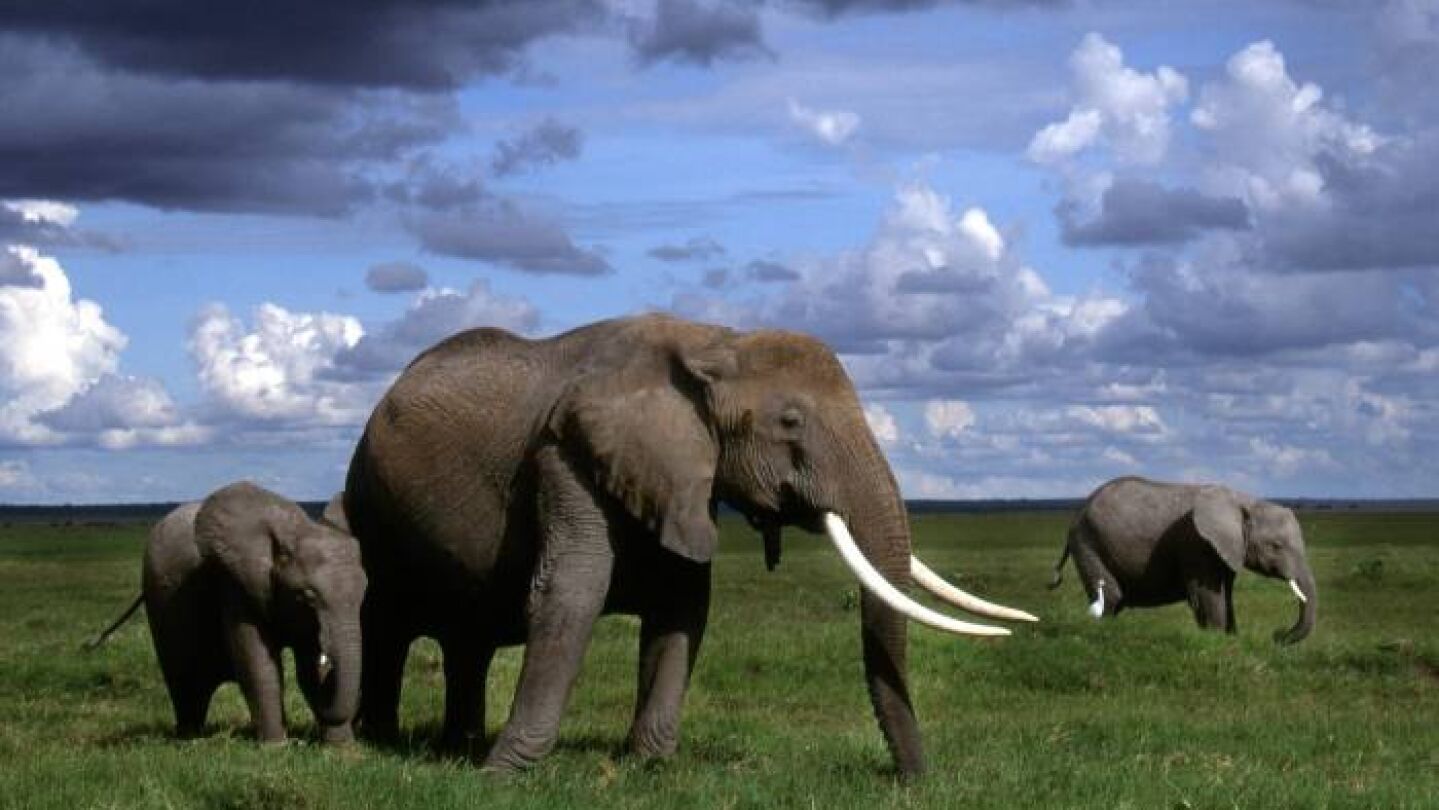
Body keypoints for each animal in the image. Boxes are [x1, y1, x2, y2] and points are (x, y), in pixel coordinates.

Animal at [87, 483, 366, 742]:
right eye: (307, 596)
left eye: (364, 593)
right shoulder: (236, 582)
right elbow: (257, 663)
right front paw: (276, 746)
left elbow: (309, 668)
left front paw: (342, 748)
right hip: (159, 599)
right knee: (184, 682)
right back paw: (190, 738)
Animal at [343, 313, 1036, 777]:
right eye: (790, 422)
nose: (915, 780)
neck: (713, 344)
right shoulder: (568, 454)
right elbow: (569, 592)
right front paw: (505, 774)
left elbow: (682, 605)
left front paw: (649, 766)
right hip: (368, 502)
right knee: (386, 622)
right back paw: (378, 741)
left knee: (468, 639)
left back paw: (454, 745)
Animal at [1049, 476, 1316, 644]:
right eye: (1276, 546)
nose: (1277, 635)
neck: (1244, 501)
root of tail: (1079, 512)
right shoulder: (1197, 543)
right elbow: (1208, 595)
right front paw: (1217, 641)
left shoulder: (1226, 549)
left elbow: (1226, 594)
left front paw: (1232, 638)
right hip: (1087, 542)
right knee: (1111, 596)